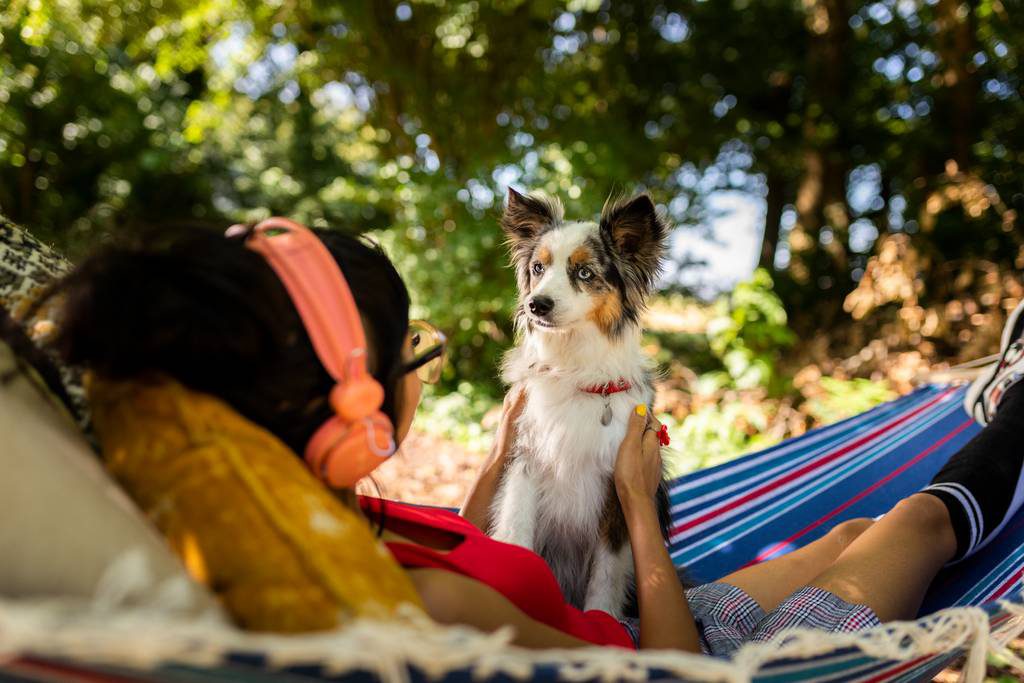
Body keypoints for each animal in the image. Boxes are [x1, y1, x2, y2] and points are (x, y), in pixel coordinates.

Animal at [487, 187, 671, 618]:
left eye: (585, 273)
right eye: (538, 268)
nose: (537, 305)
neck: (573, 368)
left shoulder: (617, 484)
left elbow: (606, 573)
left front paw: (600, 619)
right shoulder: (525, 456)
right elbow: (516, 529)